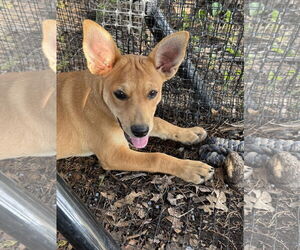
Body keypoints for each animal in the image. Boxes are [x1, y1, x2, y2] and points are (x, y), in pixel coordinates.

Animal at [56, 20, 214, 184]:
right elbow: (156, 157)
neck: (98, 100)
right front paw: (191, 168)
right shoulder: (112, 154)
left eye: (153, 93)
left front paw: (189, 132)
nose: (140, 131)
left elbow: (159, 121)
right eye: (119, 94)